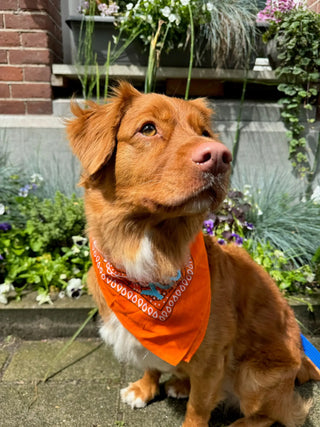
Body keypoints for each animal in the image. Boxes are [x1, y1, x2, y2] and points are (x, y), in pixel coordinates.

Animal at [66, 82, 318, 426]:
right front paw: (145, 389)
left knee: (277, 412)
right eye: (148, 128)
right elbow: (151, 362)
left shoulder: (212, 360)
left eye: (205, 132)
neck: (151, 253)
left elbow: (198, 407)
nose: (220, 157)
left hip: (255, 376)